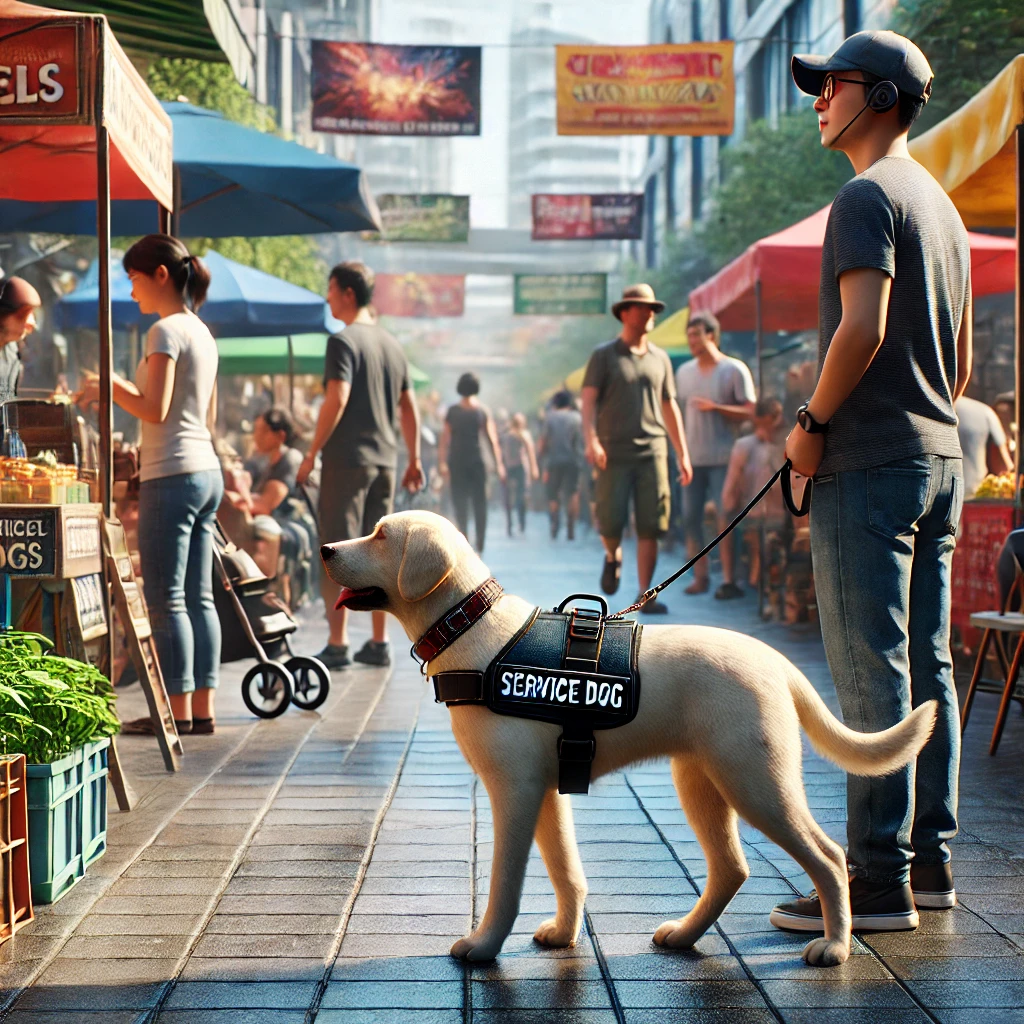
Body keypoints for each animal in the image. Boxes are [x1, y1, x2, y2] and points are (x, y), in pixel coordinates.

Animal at [321, 512, 937, 966]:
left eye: (381, 535)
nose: (326, 548)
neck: (471, 629)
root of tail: (776, 661)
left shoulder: (514, 791)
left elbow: (507, 881)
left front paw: (483, 945)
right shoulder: (546, 792)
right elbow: (567, 870)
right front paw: (564, 934)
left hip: (756, 779)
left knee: (827, 857)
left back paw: (834, 946)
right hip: (702, 781)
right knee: (732, 867)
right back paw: (685, 935)